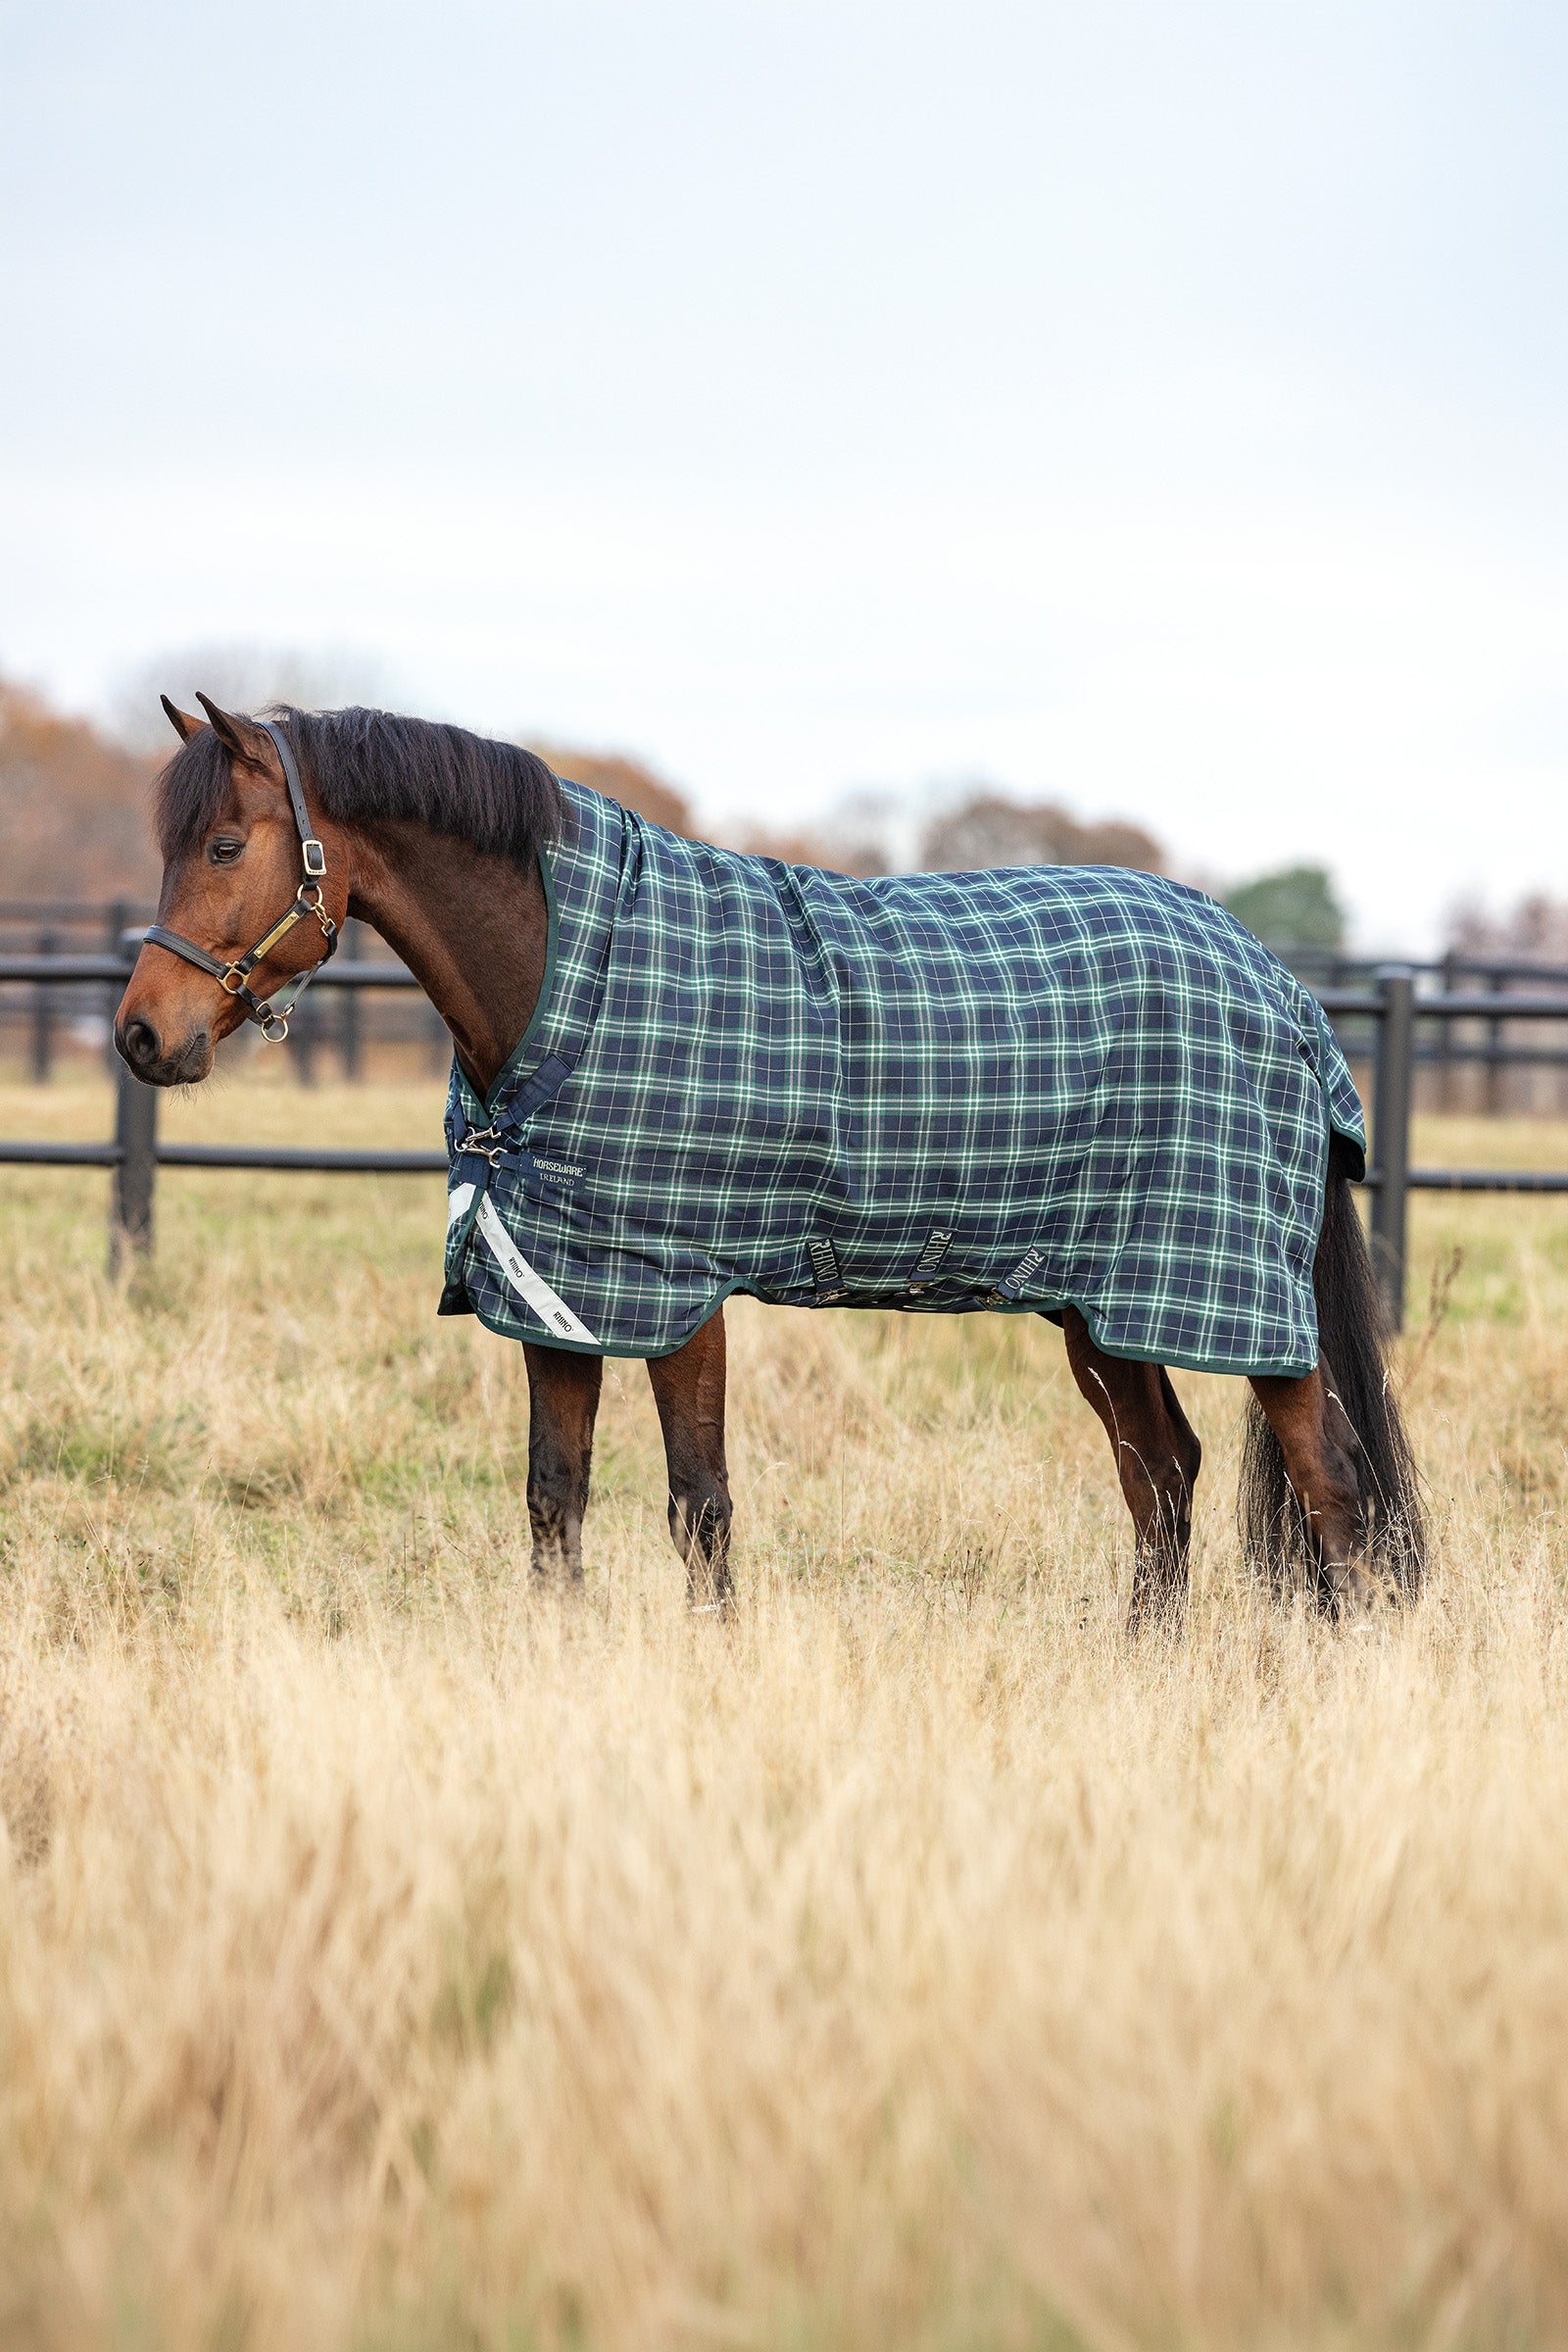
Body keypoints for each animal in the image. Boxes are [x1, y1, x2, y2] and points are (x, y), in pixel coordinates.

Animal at [115, 696, 1423, 1626]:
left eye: (224, 844)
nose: (141, 1036)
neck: (573, 977)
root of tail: (1285, 995)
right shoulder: (560, 1292)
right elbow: (554, 1497)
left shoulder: (677, 1291)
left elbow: (699, 1504)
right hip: (1100, 1302)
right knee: (1162, 1475)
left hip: (1230, 1297)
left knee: (1331, 1481)